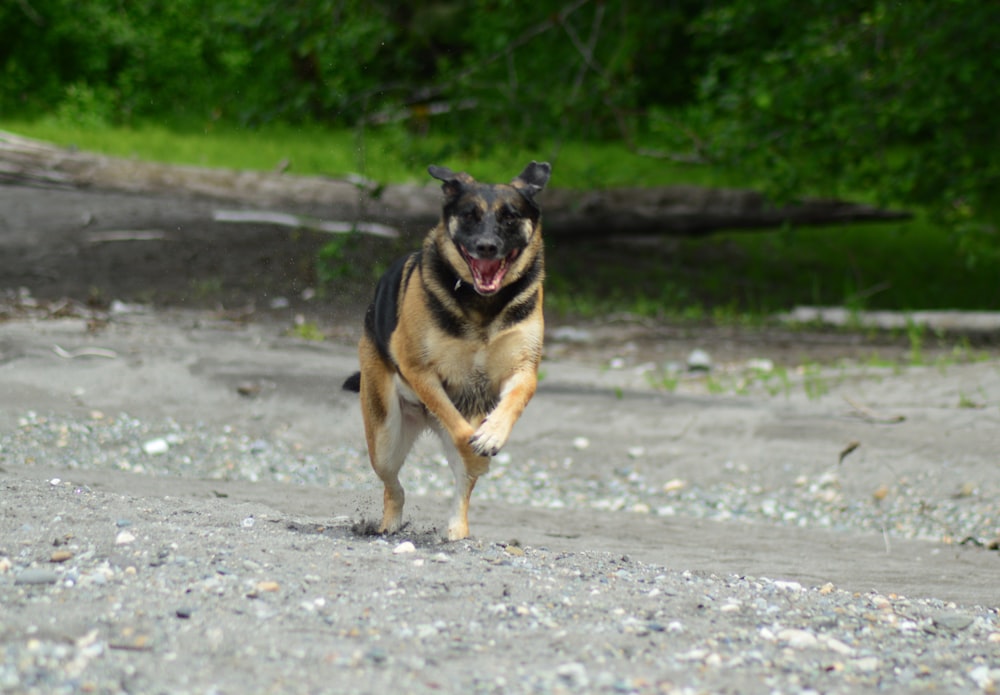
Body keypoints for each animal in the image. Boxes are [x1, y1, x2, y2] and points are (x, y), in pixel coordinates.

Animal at [346, 160, 556, 540]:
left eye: (510, 216)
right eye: (469, 215)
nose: (487, 246)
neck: (483, 305)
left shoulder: (522, 370)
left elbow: (512, 403)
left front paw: (492, 435)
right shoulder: (420, 371)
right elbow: (460, 430)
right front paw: (478, 451)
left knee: (461, 488)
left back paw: (458, 530)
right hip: (384, 436)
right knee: (393, 486)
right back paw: (389, 525)